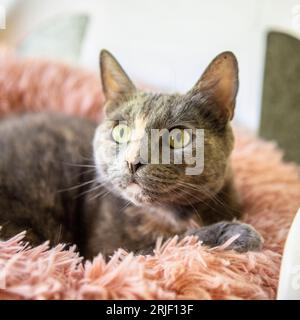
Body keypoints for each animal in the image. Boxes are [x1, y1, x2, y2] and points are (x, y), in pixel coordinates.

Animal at [0, 50, 262, 260]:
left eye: (178, 137)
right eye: (121, 130)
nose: (133, 161)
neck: (176, 215)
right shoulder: (109, 252)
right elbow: (173, 242)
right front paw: (235, 233)